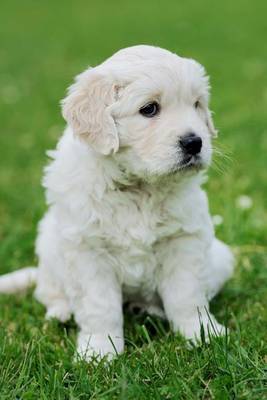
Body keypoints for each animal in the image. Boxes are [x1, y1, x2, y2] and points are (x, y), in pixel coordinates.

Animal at [0, 45, 234, 360]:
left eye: (197, 104)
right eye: (149, 109)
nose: (195, 142)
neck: (139, 186)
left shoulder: (183, 239)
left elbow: (187, 295)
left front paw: (202, 334)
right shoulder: (88, 250)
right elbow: (100, 307)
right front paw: (98, 352)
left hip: (221, 257)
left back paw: (146, 308)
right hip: (48, 245)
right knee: (49, 290)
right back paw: (60, 313)